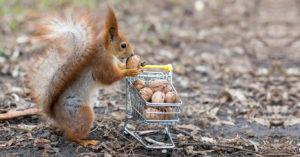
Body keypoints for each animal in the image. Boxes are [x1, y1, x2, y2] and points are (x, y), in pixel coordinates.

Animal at [27, 6, 141, 146]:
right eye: (123, 45)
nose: (133, 53)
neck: (105, 50)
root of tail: (55, 116)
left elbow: (119, 66)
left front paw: (131, 65)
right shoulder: (101, 65)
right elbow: (110, 78)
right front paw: (130, 71)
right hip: (82, 114)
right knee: (70, 136)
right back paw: (86, 142)